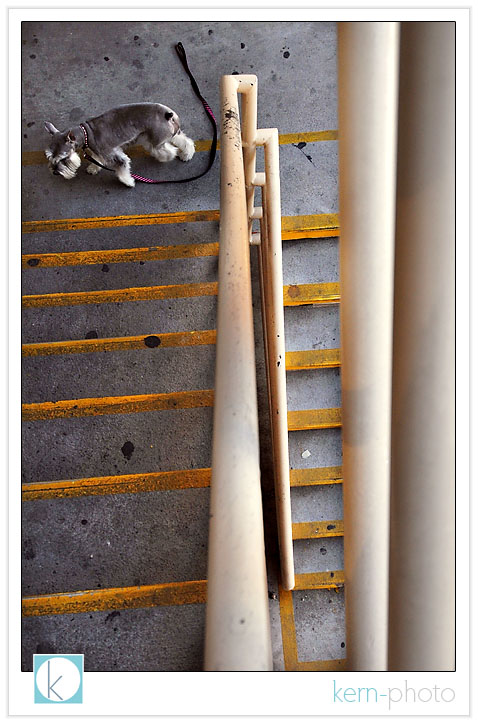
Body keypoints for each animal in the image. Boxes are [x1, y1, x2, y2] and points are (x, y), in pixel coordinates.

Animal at [43, 102, 195, 188]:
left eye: (64, 158)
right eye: (50, 157)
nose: (55, 172)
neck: (86, 133)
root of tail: (167, 114)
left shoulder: (115, 156)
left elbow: (122, 170)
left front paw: (129, 182)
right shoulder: (98, 152)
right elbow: (97, 160)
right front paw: (93, 168)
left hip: (156, 141)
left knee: (167, 150)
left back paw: (167, 157)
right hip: (170, 134)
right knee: (184, 140)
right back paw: (187, 154)